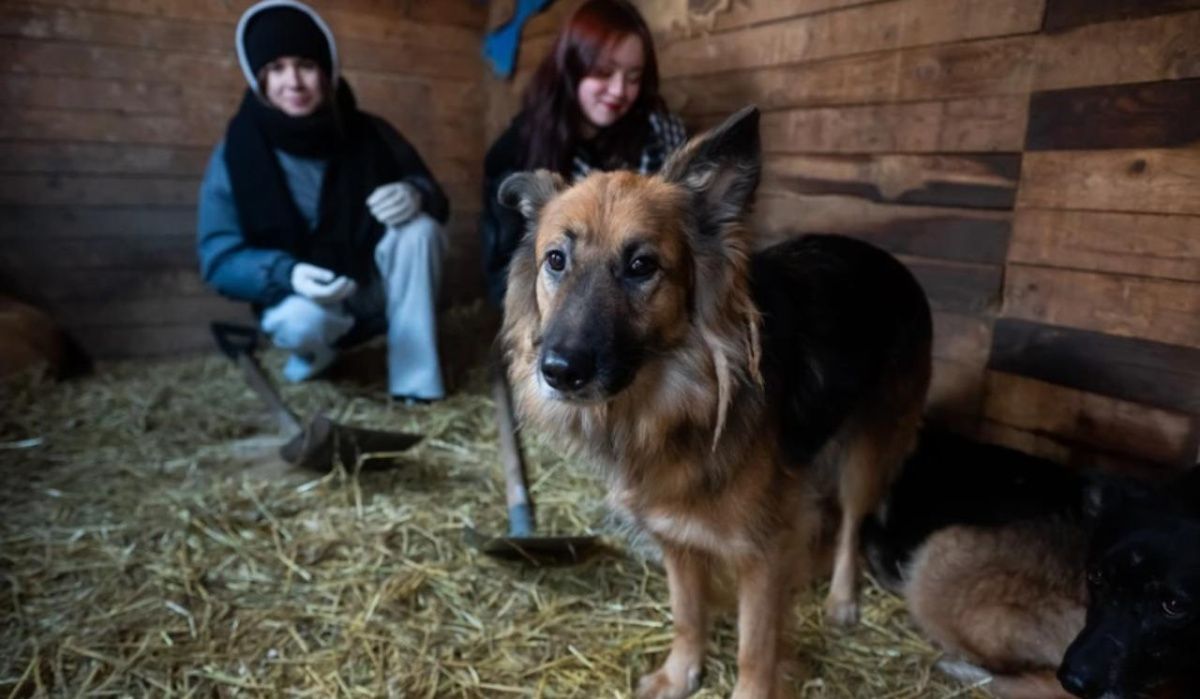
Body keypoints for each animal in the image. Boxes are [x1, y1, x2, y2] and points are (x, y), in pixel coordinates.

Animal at [494, 106, 926, 696]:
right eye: (556, 260)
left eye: (641, 266)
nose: (558, 371)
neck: (673, 406)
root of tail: (892, 264)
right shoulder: (675, 537)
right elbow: (687, 612)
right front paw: (681, 673)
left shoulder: (762, 551)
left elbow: (754, 647)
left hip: (867, 451)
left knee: (853, 524)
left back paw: (841, 598)